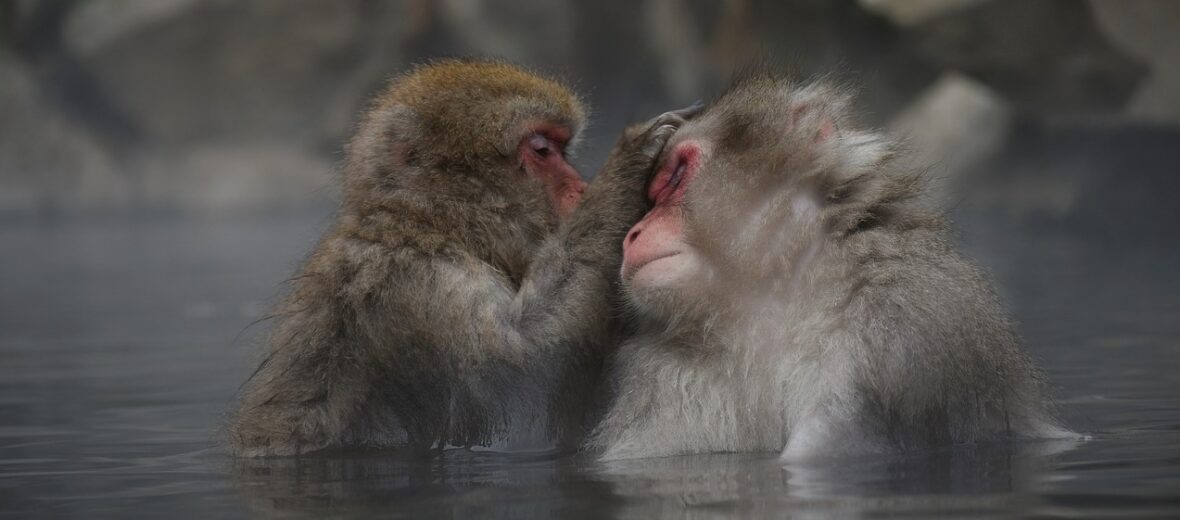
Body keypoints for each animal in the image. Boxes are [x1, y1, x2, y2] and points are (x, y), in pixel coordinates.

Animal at [228, 59, 689, 452]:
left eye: (563, 149)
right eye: (542, 150)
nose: (581, 186)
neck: (430, 228)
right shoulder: (423, 287)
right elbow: (524, 388)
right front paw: (629, 166)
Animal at [590, 71, 1071, 459]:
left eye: (674, 177)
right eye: (648, 200)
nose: (633, 234)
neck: (765, 302)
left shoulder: (903, 326)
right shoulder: (668, 383)